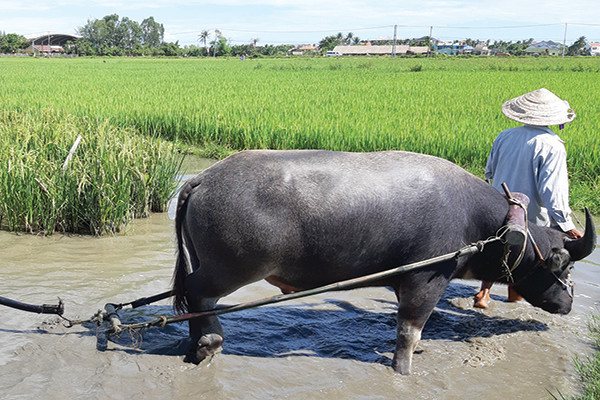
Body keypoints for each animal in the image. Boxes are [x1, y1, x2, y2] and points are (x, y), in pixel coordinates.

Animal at [172, 150, 596, 376]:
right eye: (566, 268)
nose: (569, 303)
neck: (486, 226)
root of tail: (204, 178)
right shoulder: (425, 281)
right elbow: (410, 332)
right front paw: (404, 370)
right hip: (229, 270)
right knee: (199, 295)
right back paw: (209, 343)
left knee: (192, 299)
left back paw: (197, 343)